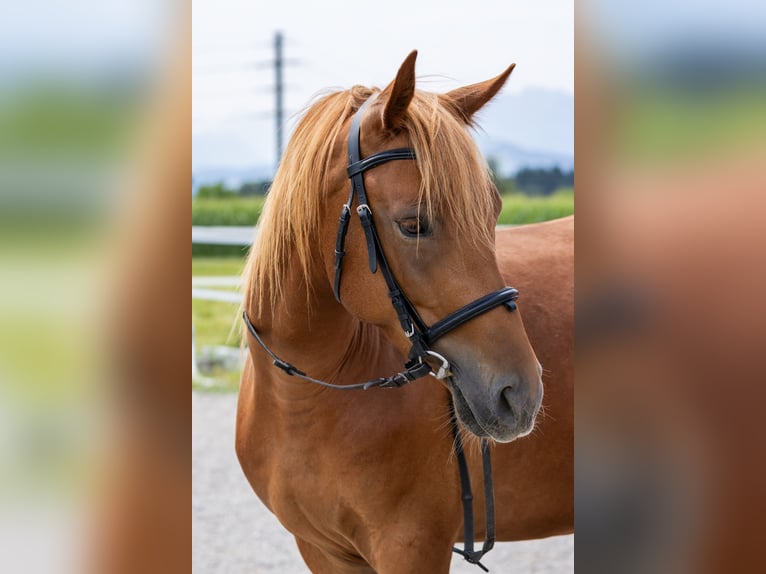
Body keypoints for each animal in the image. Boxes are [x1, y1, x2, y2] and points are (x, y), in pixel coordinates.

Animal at [236, 51, 573, 573]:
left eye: (493, 214)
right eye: (412, 224)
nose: (520, 394)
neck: (305, 400)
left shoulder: (411, 545)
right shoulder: (321, 549)